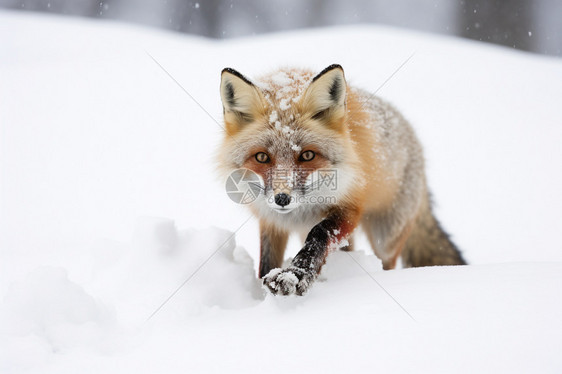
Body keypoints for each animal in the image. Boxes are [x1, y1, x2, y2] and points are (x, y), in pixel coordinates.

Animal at [217, 65, 462, 296]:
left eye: (307, 155)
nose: (282, 199)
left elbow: (319, 233)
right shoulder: (271, 221)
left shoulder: (349, 208)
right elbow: (266, 264)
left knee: (387, 261)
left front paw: (296, 275)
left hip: (386, 236)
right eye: (261, 157)